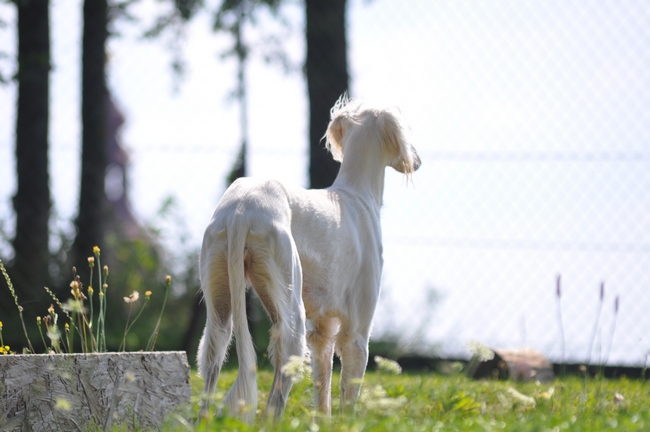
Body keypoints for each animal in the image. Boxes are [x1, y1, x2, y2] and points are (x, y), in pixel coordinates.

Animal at [196, 95, 420, 422]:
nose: (417, 161)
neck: (356, 195)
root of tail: (242, 209)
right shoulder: (357, 331)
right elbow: (349, 394)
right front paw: (348, 424)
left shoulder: (321, 330)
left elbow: (323, 387)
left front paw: (323, 423)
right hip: (291, 307)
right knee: (276, 394)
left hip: (220, 303)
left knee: (211, 362)